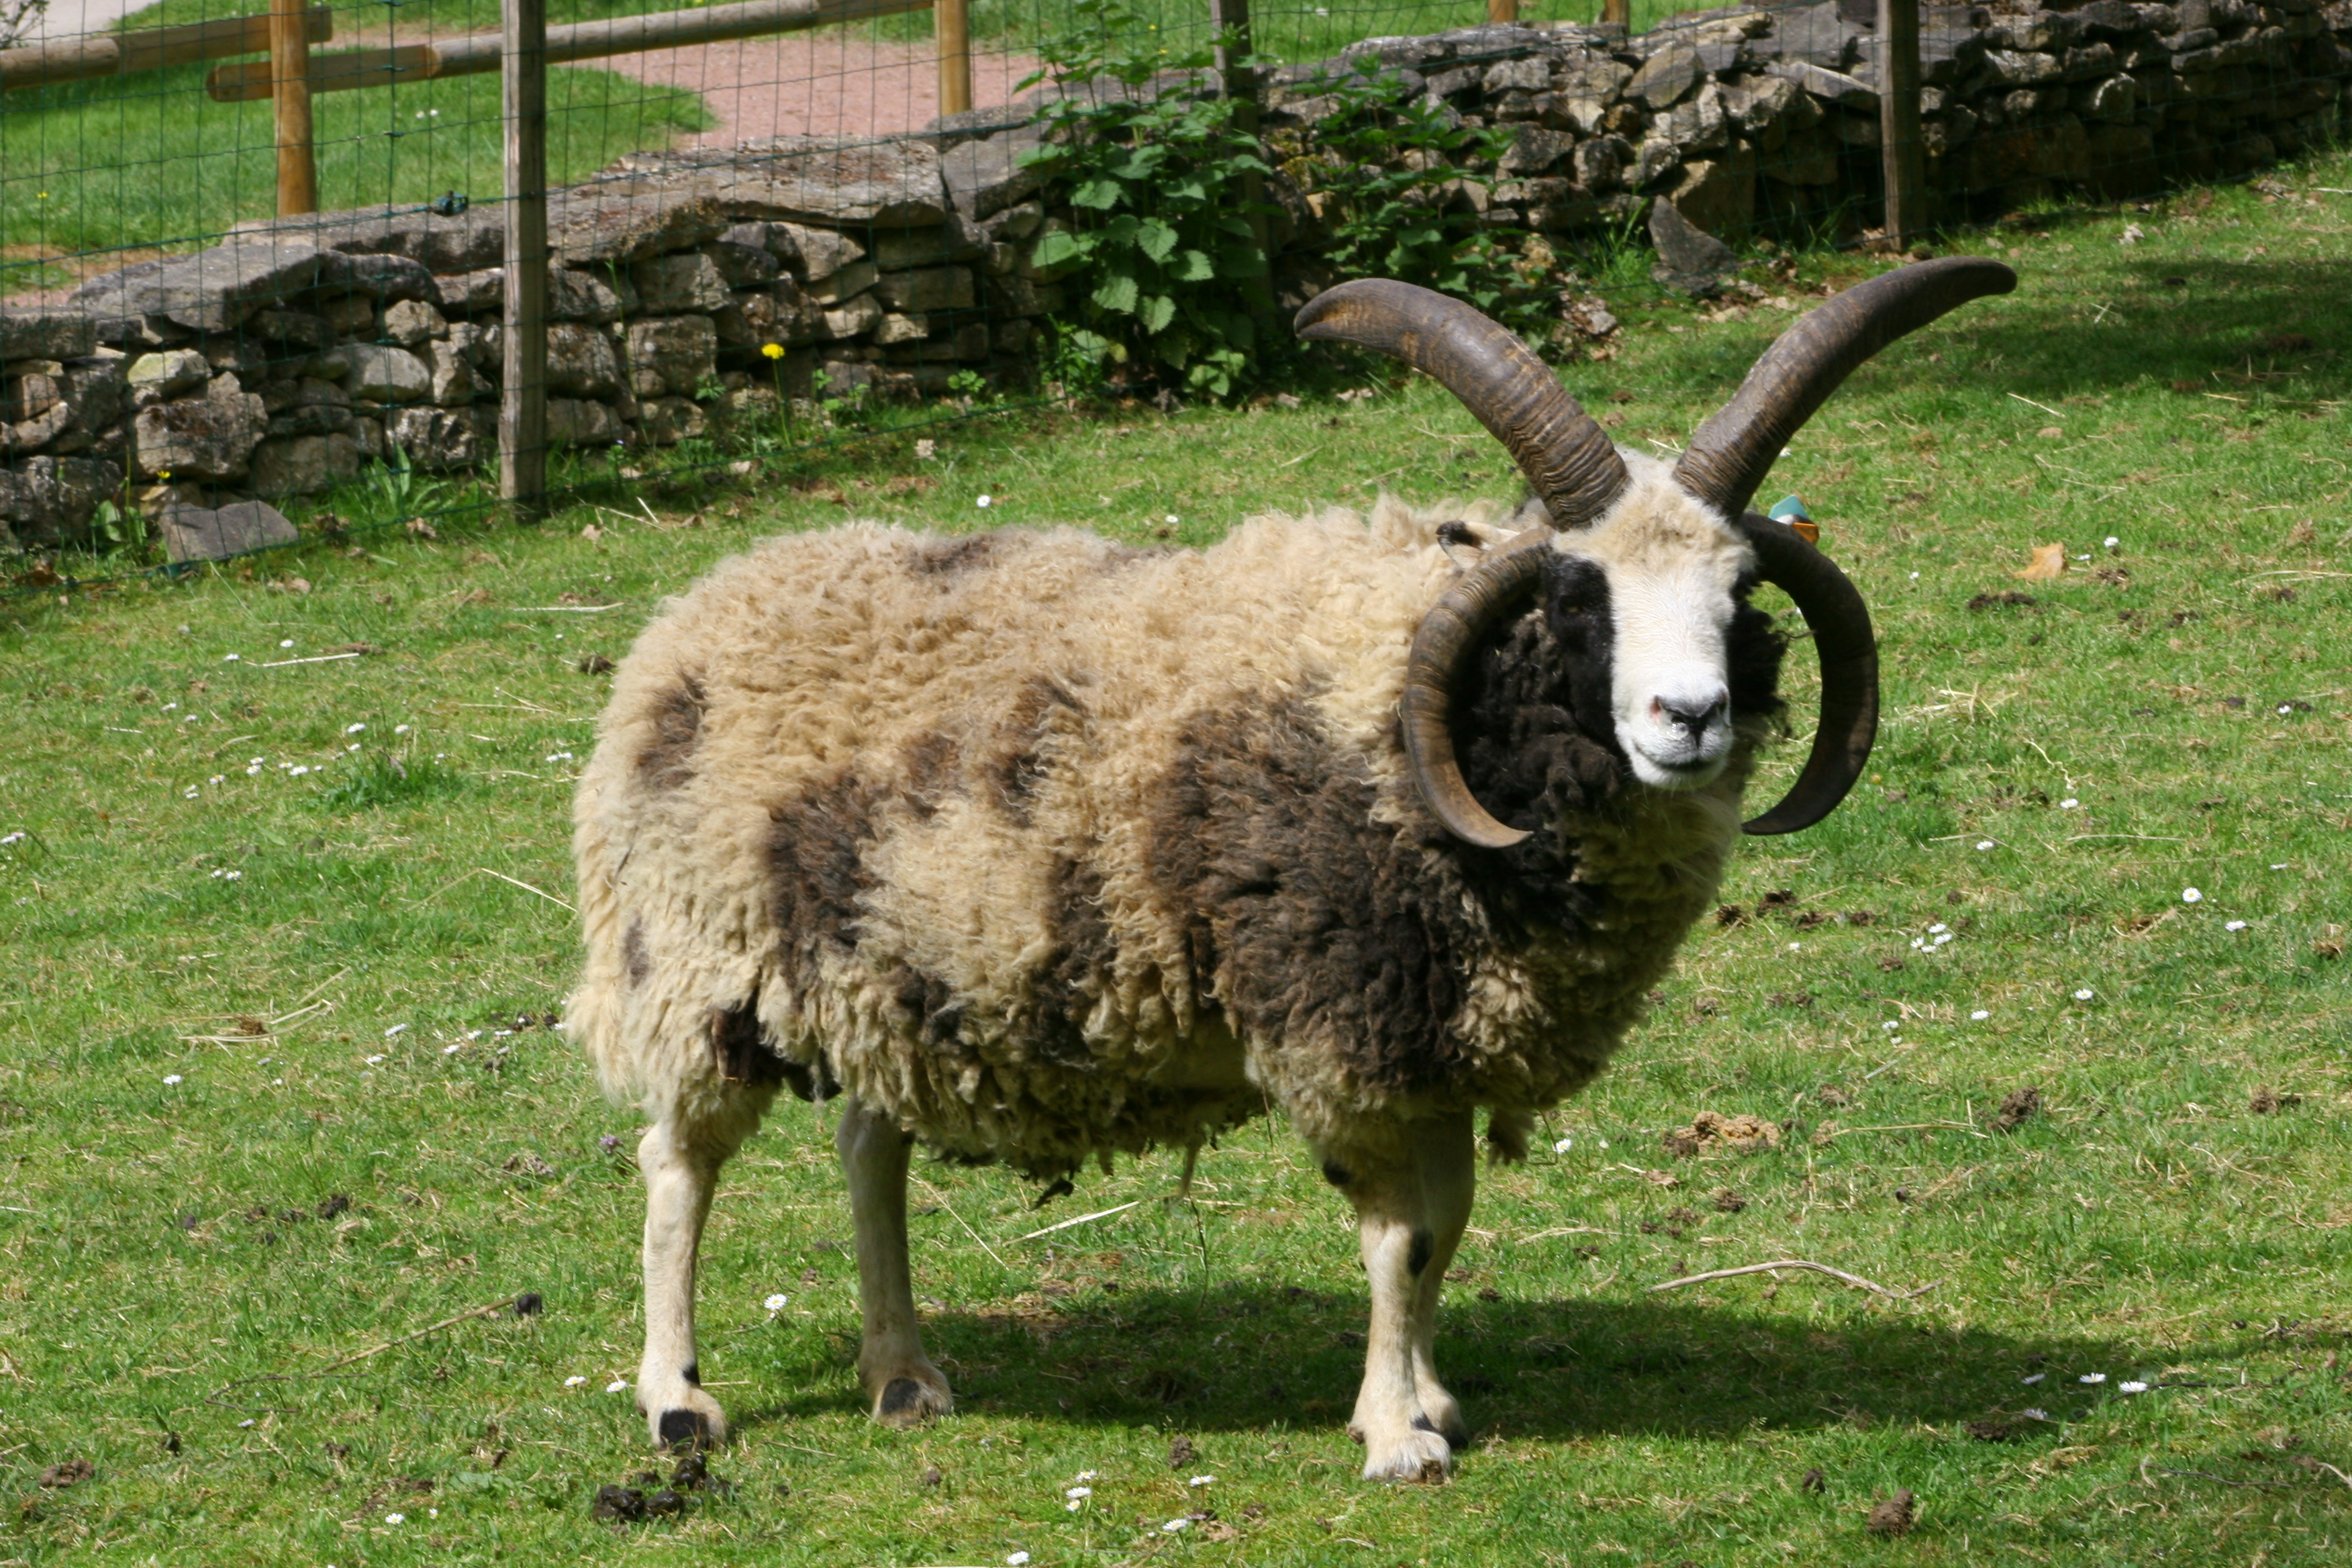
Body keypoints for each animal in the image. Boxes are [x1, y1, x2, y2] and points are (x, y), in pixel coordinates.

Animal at [568, 259, 2015, 1480]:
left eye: (1737, 596)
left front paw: (1429, 1397)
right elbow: (1400, 1237)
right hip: (699, 961)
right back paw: (677, 1401)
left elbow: (1446, 1228)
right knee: (676, 1166)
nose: (1689, 718)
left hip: (900, 975)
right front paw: (1397, 1437)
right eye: (1576, 602)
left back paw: (905, 1375)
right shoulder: (1348, 1021)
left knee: (868, 1144)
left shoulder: (1437, 1035)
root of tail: (701, 607)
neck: (1401, 714)